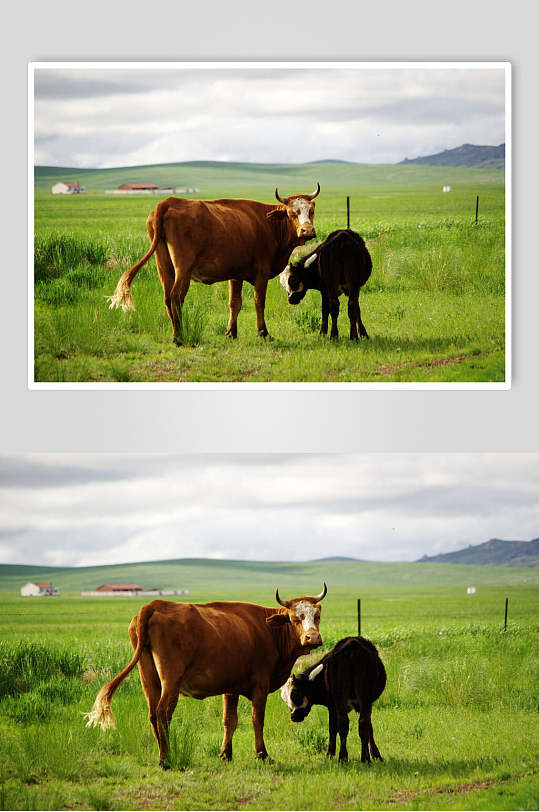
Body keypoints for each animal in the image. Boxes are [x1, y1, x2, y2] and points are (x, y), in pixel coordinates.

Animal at [84, 584, 326, 768]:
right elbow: (257, 720)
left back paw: (162, 754)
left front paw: (226, 754)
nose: (312, 638)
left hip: (149, 679)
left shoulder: (231, 688)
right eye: (295, 618)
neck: (268, 631)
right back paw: (166, 759)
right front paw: (262, 754)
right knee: (162, 713)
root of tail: (153, 605)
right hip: (170, 681)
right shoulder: (260, 686)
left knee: (152, 714)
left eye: (317, 616)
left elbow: (229, 721)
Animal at [108, 186, 320, 342]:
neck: (269, 225)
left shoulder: (236, 274)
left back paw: (176, 332)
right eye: (292, 213)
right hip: (182, 269)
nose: (307, 230)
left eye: (311, 211)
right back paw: (179, 336)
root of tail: (168, 202)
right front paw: (263, 332)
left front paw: (231, 332)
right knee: (176, 297)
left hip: (164, 267)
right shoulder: (262, 273)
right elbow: (259, 302)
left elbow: (235, 303)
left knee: (167, 297)